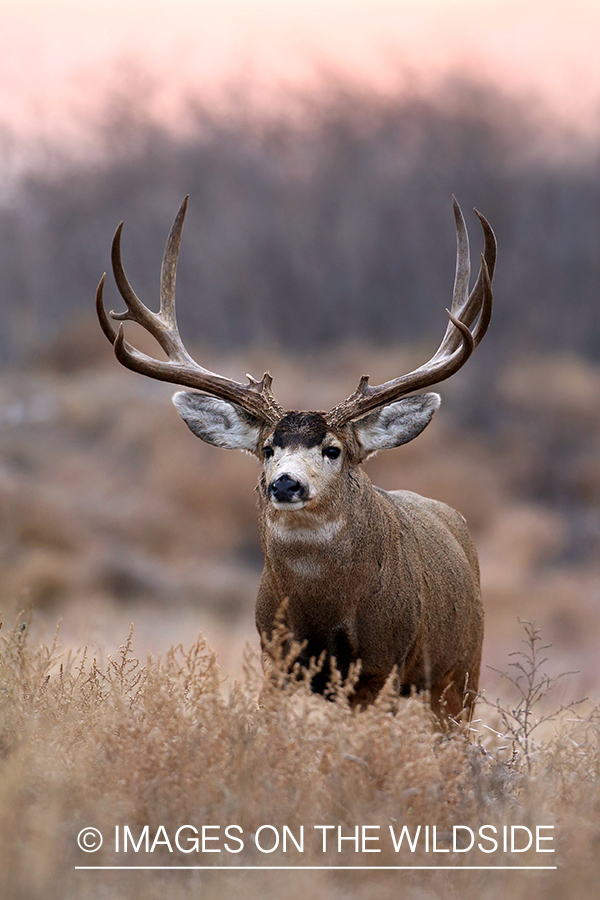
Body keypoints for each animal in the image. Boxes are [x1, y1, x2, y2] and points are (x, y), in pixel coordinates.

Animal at [96, 197, 494, 724]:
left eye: (333, 449)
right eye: (267, 448)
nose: (285, 484)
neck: (322, 610)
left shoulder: (382, 667)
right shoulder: (275, 660)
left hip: (463, 673)